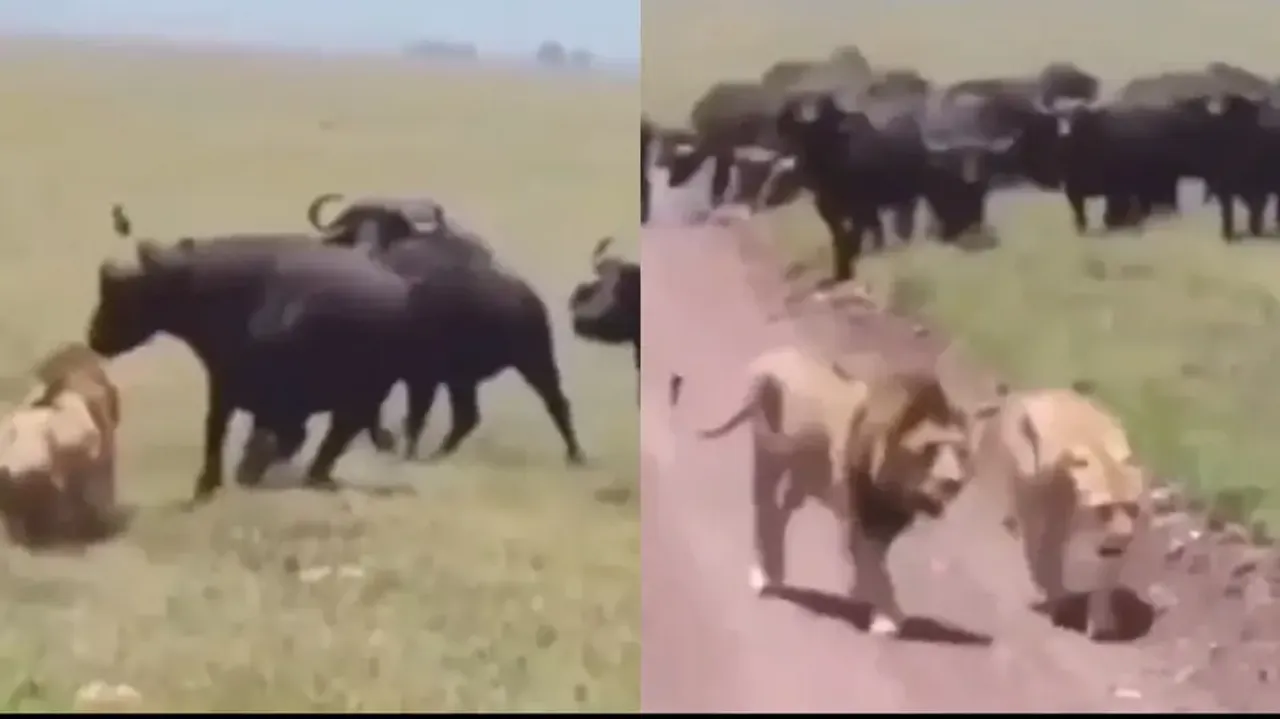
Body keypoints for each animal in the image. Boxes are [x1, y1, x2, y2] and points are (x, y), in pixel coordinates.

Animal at [696, 345, 998, 637]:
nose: (954, 480)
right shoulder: (860, 515)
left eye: (962, 452)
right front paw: (888, 621)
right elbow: (872, 567)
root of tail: (768, 358)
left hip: (802, 474)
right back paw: (762, 577)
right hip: (768, 455)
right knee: (766, 506)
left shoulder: (886, 523)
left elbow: (875, 567)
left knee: (782, 512)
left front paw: (876, 605)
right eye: (931, 450)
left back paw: (775, 574)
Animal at [976, 384, 1147, 639]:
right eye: (1104, 509)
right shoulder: (1048, 529)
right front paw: (1054, 607)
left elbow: (1102, 581)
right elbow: (1048, 567)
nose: (1124, 535)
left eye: (1132, 507)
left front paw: (1099, 623)